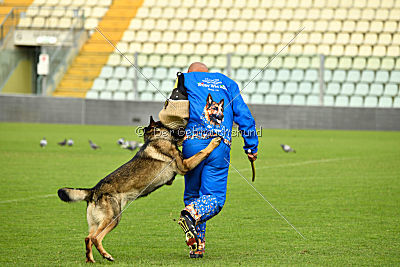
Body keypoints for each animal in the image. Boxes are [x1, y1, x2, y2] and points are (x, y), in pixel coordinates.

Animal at [57, 117, 220, 264]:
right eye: (167, 125)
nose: (184, 128)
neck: (154, 138)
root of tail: (93, 190)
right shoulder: (185, 166)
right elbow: (201, 153)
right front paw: (214, 141)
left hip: (97, 222)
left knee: (87, 238)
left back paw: (90, 259)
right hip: (113, 218)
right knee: (95, 238)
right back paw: (106, 255)